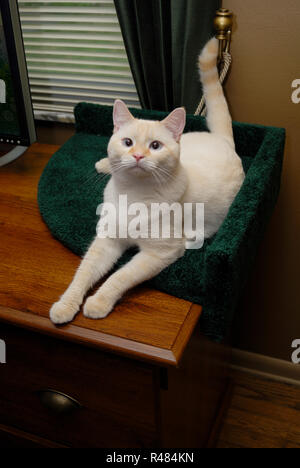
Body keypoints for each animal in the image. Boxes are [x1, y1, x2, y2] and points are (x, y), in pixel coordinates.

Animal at [50, 38, 245, 324]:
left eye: (155, 146)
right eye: (127, 142)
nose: (138, 156)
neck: (132, 193)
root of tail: (223, 141)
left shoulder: (158, 253)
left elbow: (119, 277)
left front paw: (98, 302)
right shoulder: (107, 239)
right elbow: (83, 272)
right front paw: (66, 304)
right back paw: (103, 164)